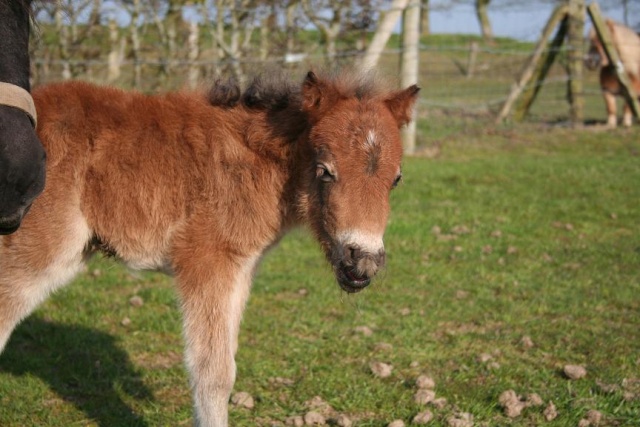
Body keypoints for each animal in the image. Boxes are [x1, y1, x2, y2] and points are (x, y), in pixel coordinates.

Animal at [0, 72, 420, 426]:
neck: (258, 166)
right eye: (325, 171)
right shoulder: (207, 263)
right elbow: (213, 373)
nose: (362, 262)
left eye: (396, 179)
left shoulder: (239, 269)